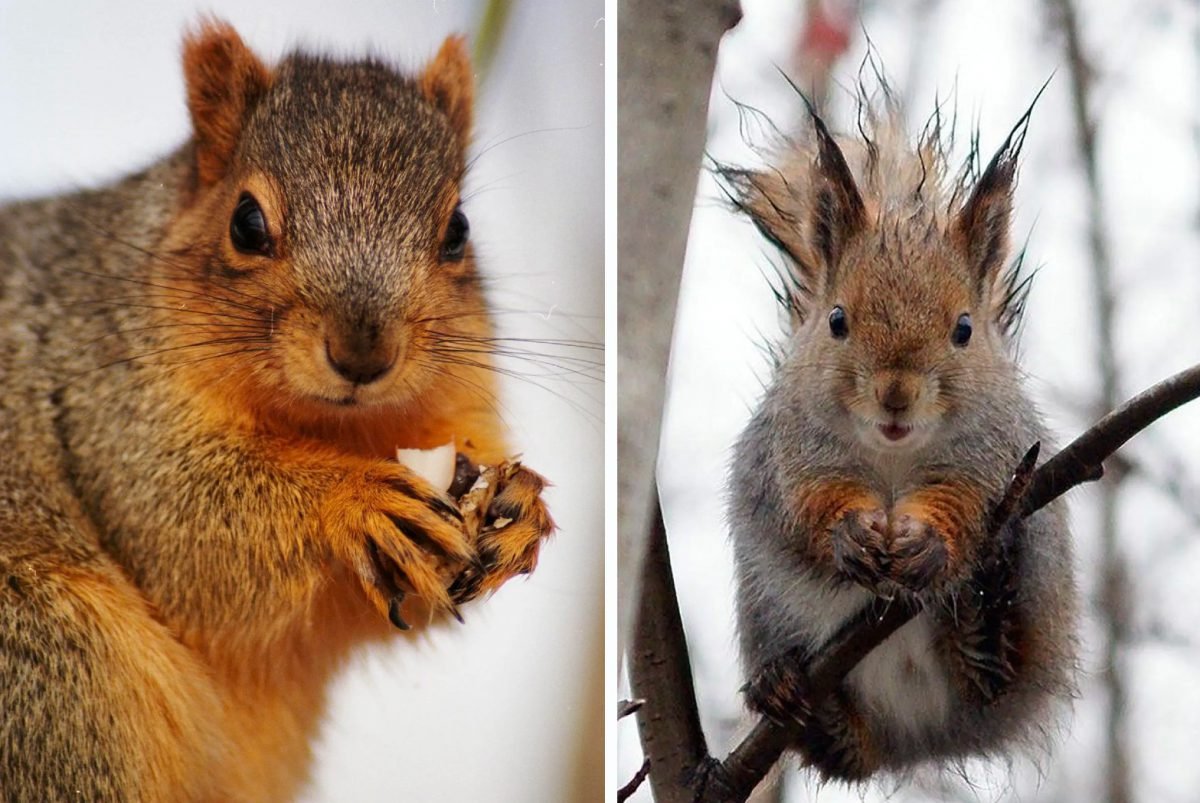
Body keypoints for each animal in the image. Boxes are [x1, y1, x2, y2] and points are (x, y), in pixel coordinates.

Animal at [0, 20, 552, 801]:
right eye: (246, 222)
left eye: (458, 231)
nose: (362, 353)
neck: (330, 427)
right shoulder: (96, 401)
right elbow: (178, 522)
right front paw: (353, 499)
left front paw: (522, 505)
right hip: (58, 674)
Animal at [720, 89, 1080, 782]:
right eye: (837, 320)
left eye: (964, 328)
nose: (896, 394)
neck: (892, 456)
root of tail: (920, 743)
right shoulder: (790, 449)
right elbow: (809, 502)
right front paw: (850, 533)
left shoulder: (994, 451)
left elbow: (964, 502)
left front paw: (926, 544)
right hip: (765, 610)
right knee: (847, 755)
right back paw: (795, 696)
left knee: (989, 684)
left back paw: (980, 630)